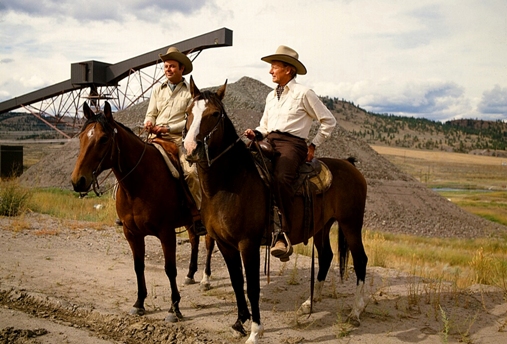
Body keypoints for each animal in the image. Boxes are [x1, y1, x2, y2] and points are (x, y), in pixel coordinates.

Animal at [71, 101, 214, 322]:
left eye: (103, 139)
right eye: (81, 136)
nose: (78, 181)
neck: (138, 183)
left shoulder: (166, 233)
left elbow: (170, 269)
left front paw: (174, 308)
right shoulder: (131, 233)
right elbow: (138, 267)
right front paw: (139, 303)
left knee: (208, 244)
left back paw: (206, 280)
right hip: (190, 221)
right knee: (194, 239)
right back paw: (190, 275)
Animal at [183, 78, 370, 344]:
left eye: (215, 114)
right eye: (188, 112)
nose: (191, 148)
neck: (229, 182)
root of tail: (350, 165)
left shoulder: (247, 243)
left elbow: (252, 286)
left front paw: (255, 331)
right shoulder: (224, 243)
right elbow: (236, 282)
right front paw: (239, 322)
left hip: (351, 224)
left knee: (361, 260)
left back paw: (355, 312)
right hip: (323, 226)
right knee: (326, 257)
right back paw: (309, 303)